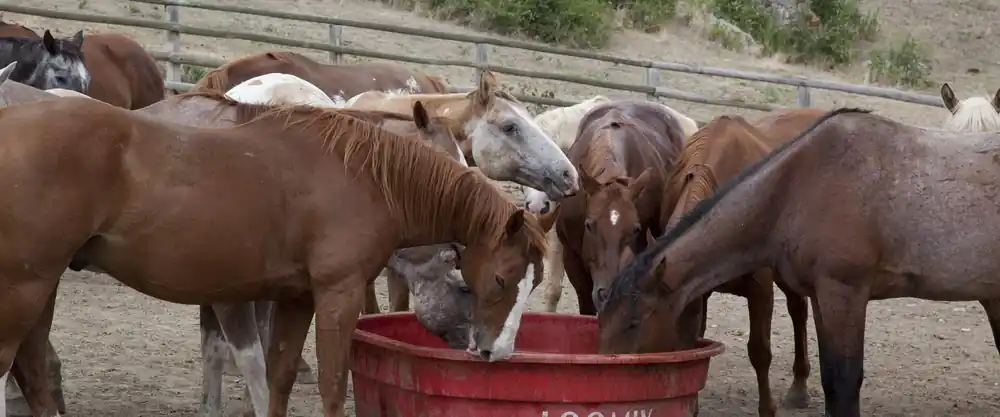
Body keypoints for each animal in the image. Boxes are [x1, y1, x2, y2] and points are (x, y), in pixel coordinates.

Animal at [0, 95, 553, 417]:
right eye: (501, 280)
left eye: (532, 284)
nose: (498, 352)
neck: (365, 178)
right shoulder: (336, 295)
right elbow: (330, 385)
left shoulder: (295, 298)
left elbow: (280, 378)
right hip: (23, 291)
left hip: (43, 288)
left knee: (34, 372)